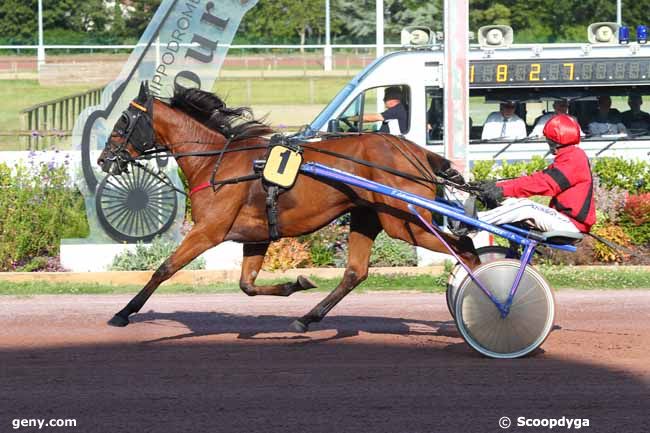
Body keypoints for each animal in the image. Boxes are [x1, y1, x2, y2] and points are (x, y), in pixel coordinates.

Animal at [97, 82, 476, 330]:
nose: (104, 160)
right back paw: (307, 318)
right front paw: (296, 284)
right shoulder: (255, 236)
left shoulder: (208, 231)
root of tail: (416, 152)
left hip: (405, 222)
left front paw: (124, 312)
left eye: (123, 122)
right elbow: (247, 285)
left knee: (466, 248)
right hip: (368, 215)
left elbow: (164, 269)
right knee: (355, 272)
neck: (216, 162)